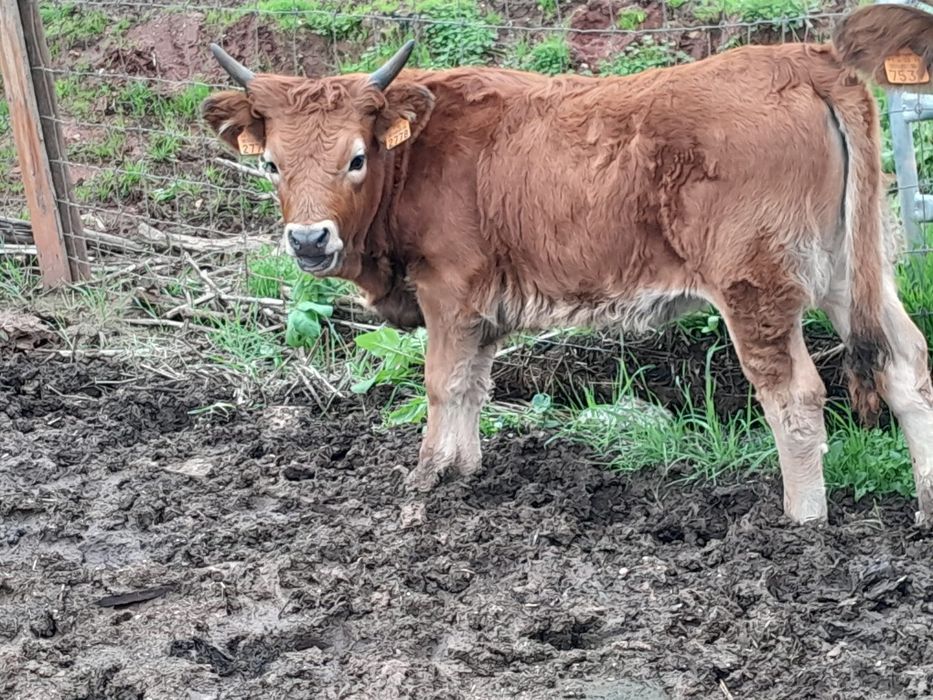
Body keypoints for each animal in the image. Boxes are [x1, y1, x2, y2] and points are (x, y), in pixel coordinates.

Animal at [201, 3, 933, 525]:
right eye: (272, 164)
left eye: (355, 157)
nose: (307, 240)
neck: (420, 152)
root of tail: (805, 58)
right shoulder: (481, 309)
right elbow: (473, 385)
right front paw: (463, 469)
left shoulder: (448, 291)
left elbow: (441, 383)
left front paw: (424, 480)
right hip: (847, 273)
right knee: (905, 364)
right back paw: (925, 505)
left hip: (756, 286)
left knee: (796, 396)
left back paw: (801, 522)